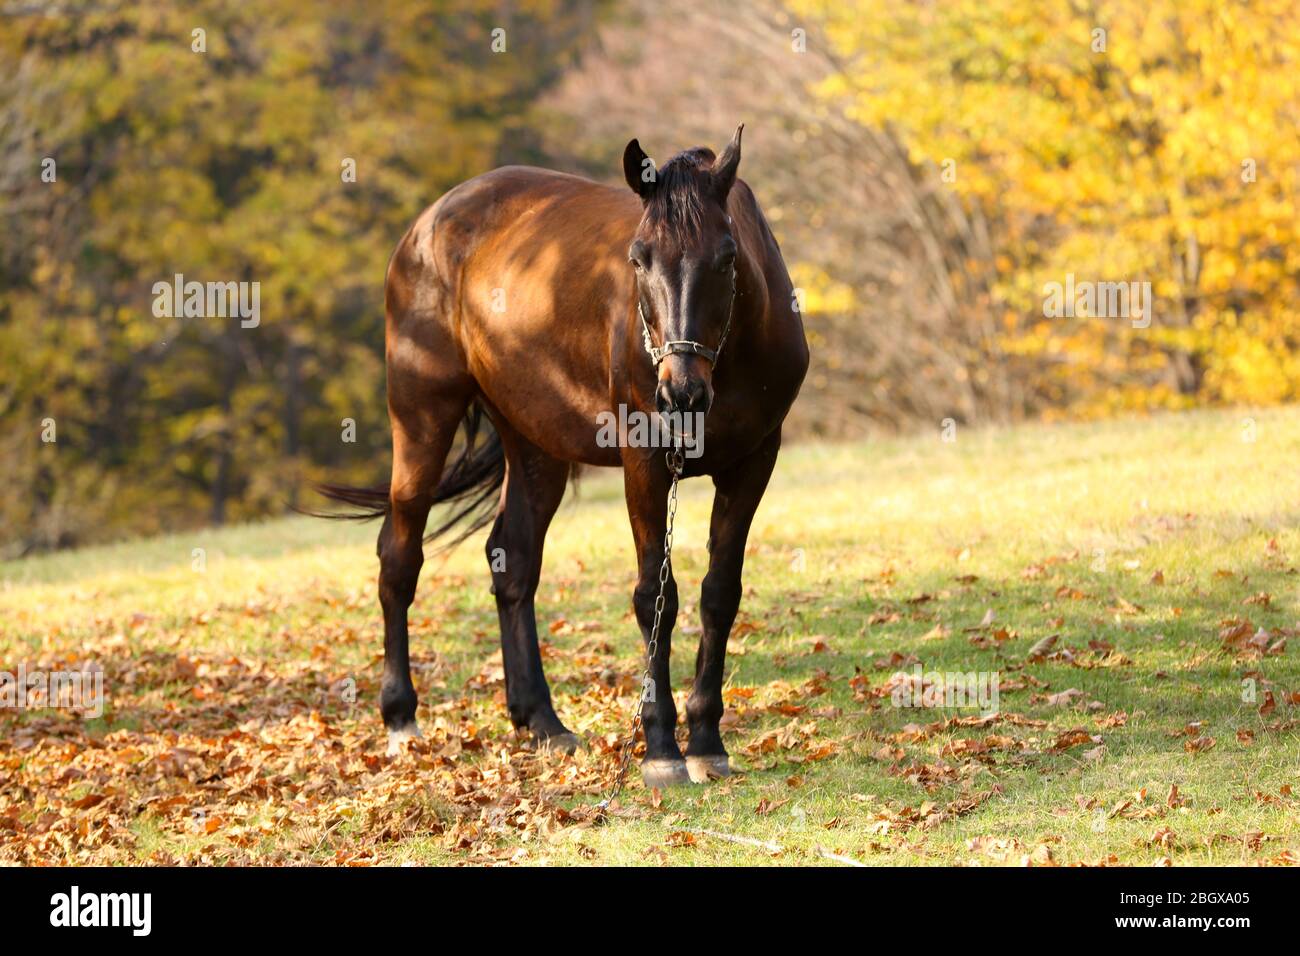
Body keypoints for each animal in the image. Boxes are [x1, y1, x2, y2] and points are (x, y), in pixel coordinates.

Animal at [319, 126, 808, 788]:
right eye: (638, 258)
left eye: (728, 257)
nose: (680, 394)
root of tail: (427, 225)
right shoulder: (645, 463)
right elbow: (655, 598)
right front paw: (662, 749)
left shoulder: (754, 462)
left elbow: (719, 594)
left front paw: (707, 740)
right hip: (421, 417)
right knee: (400, 557)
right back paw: (401, 718)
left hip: (535, 446)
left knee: (513, 563)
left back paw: (541, 722)